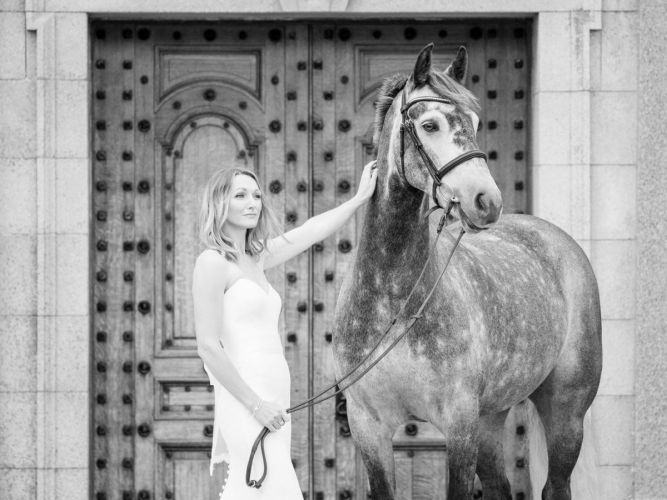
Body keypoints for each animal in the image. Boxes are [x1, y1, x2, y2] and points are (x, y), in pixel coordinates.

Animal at [334, 44, 604, 500]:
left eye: (476, 123)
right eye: (430, 124)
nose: (486, 201)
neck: (394, 300)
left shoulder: (459, 425)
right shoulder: (369, 425)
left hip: (565, 413)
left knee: (556, 485)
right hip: (491, 419)